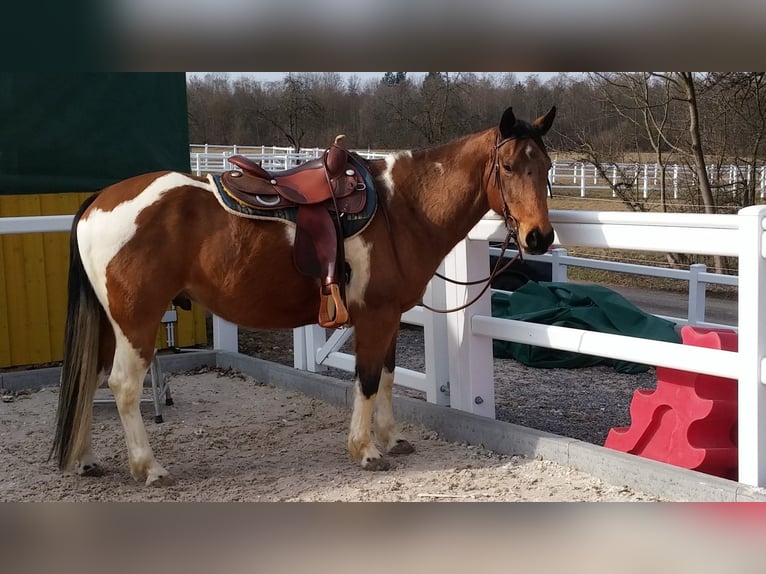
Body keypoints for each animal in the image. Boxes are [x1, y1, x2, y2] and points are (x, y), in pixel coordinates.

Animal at [54, 107, 560, 486]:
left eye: (547, 167)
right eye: (509, 167)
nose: (538, 238)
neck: (403, 207)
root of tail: (100, 199)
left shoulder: (390, 317)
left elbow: (389, 377)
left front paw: (393, 439)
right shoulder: (375, 316)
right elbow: (368, 380)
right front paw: (366, 450)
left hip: (110, 324)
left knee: (89, 379)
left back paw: (84, 460)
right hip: (136, 323)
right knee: (123, 386)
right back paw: (149, 467)